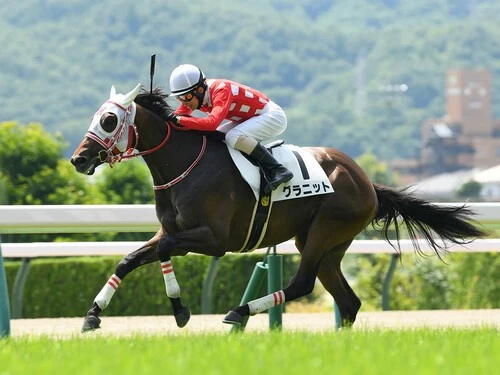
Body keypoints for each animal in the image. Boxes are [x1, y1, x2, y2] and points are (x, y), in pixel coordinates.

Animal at [72, 84, 486, 332]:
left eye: (108, 120)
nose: (79, 159)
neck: (185, 164)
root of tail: (367, 180)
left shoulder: (213, 239)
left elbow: (162, 251)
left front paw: (180, 311)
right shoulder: (170, 230)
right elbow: (131, 258)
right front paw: (92, 314)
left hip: (325, 231)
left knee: (304, 283)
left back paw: (239, 312)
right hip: (327, 245)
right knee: (348, 302)